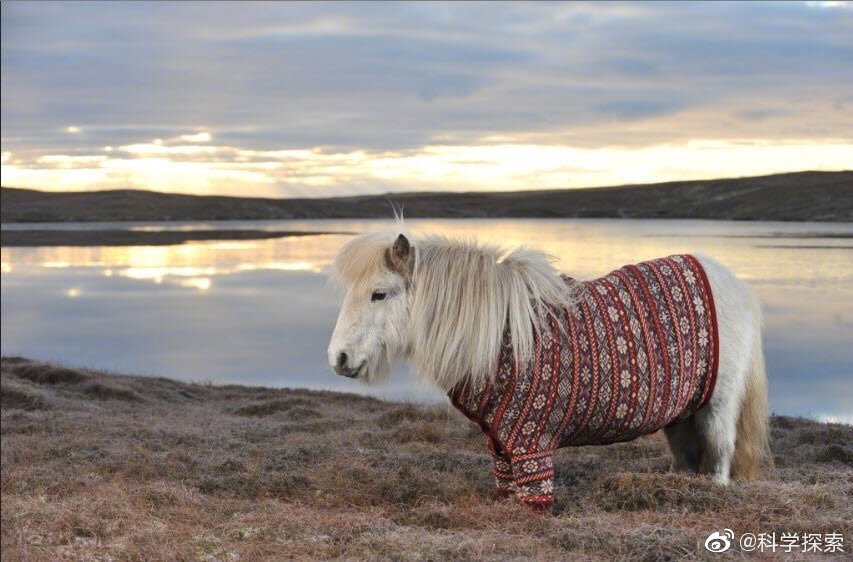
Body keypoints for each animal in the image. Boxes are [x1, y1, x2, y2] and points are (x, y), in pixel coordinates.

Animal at [327, 229, 771, 512]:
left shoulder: (530, 441)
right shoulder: (502, 443)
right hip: (680, 413)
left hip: (717, 406)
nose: (338, 359)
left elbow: (534, 494)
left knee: (719, 455)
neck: (499, 335)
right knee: (687, 460)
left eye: (379, 294)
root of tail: (730, 280)